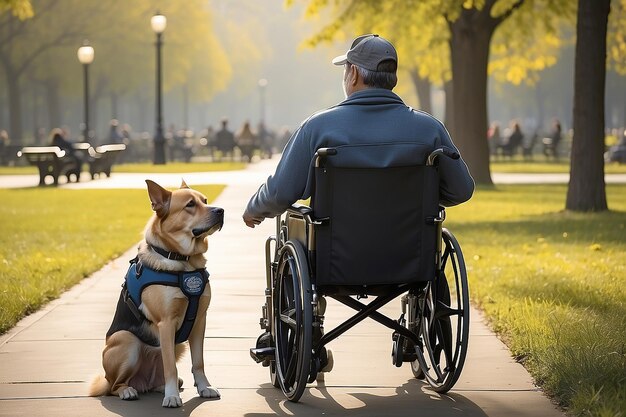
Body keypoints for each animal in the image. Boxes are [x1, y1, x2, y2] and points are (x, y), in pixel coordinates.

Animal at [89, 179, 223, 406]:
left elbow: (198, 362)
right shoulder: (166, 323)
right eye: (190, 205)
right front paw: (172, 397)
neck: (183, 261)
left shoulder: (199, 321)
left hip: (178, 346)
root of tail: (142, 382)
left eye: (205, 200)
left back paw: (160, 387)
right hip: (127, 341)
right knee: (115, 386)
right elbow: (170, 366)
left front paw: (204, 387)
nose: (221, 211)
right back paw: (128, 391)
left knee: (157, 380)